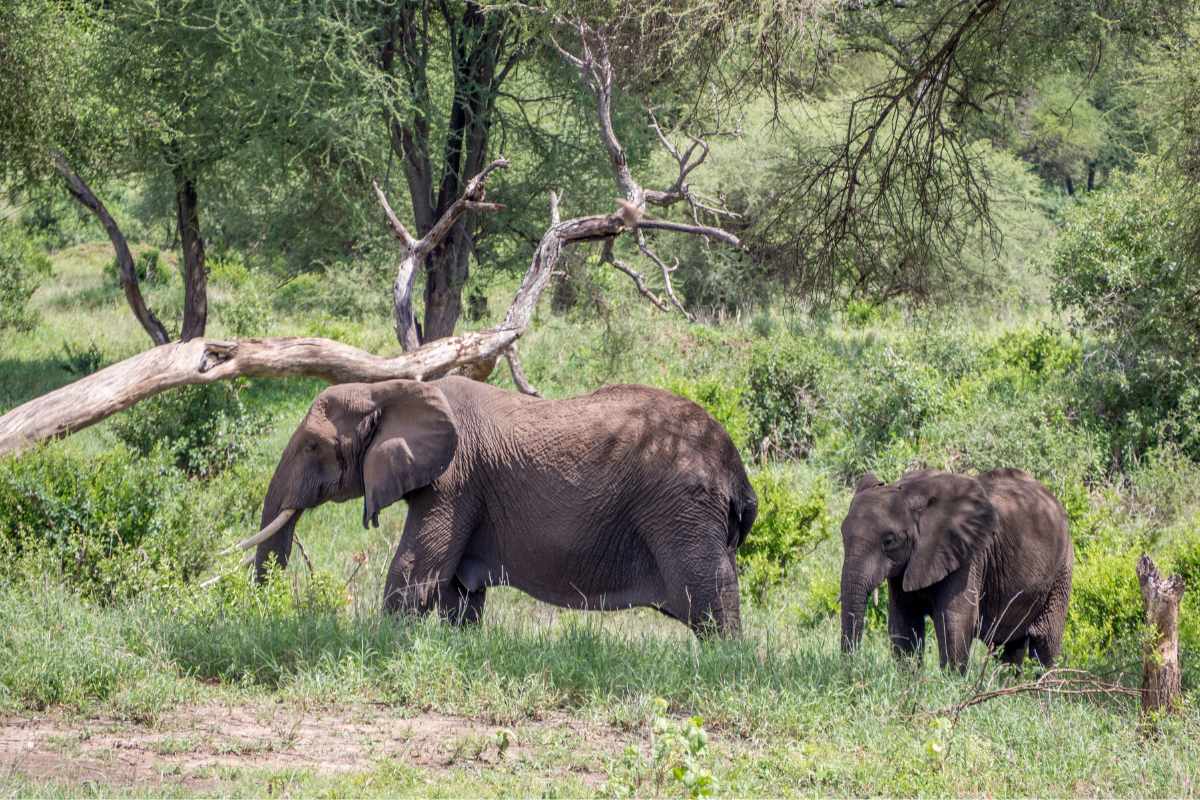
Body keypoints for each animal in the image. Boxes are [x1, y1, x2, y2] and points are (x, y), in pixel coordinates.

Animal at [238, 376, 757, 637]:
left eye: (312, 446)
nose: (265, 611)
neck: (390, 387)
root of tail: (734, 466)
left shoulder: (455, 478)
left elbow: (415, 569)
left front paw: (384, 642)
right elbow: (458, 591)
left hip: (681, 510)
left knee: (711, 602)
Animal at [839, 468, 1072, 669]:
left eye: (889, 541)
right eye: (842, 534)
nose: (850, 669)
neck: (909, 493)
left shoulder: (968, 558)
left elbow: (954, 620)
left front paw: (951, 684)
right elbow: (904, 622)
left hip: (1061, 571)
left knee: (1045, 645)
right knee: (1010, 648)